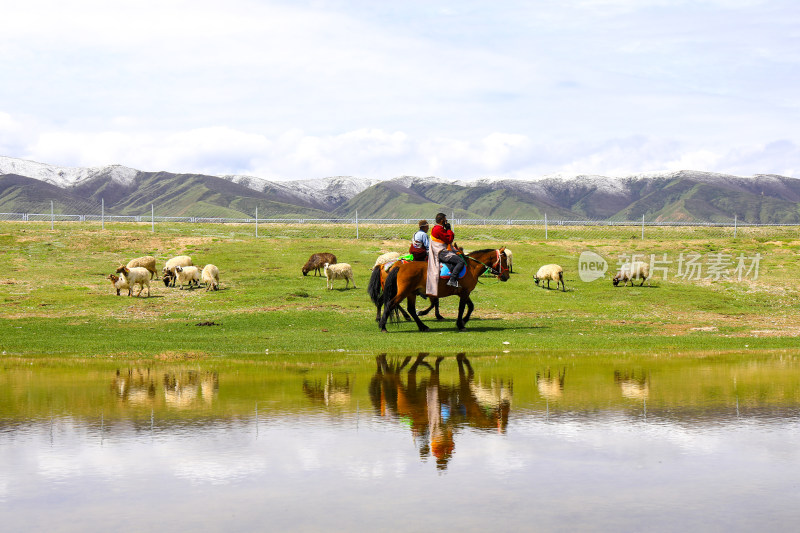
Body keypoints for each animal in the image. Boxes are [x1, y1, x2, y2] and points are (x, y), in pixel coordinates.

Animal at [378, 246, 510, 330]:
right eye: (504, 259)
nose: (506, 276)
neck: (472, 267)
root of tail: (399, 266)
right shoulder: (464, 292)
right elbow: (462, 308)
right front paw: (460, 324)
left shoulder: (464, 292)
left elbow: (471, 306)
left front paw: (463, 321)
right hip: (404, 292)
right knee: (390, 304)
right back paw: (383, 326)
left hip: (411, 293)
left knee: (410, 309)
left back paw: (423, 326)